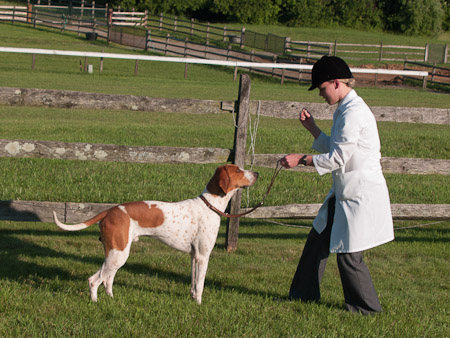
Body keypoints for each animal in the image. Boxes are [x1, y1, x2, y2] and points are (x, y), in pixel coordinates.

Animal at [52, 165, 256, 304]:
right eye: (238, 170)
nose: (257, 174)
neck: (209, 205)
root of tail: (109, 211)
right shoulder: (203, 256)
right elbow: (200, 284)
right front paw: (198, 304)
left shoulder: (193, 256)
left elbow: (192, 282)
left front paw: (192, 298)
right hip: (118, 254)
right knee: (94, 280)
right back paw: (95, 302)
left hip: (116, 254)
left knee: (107, 279)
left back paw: (111, 299)